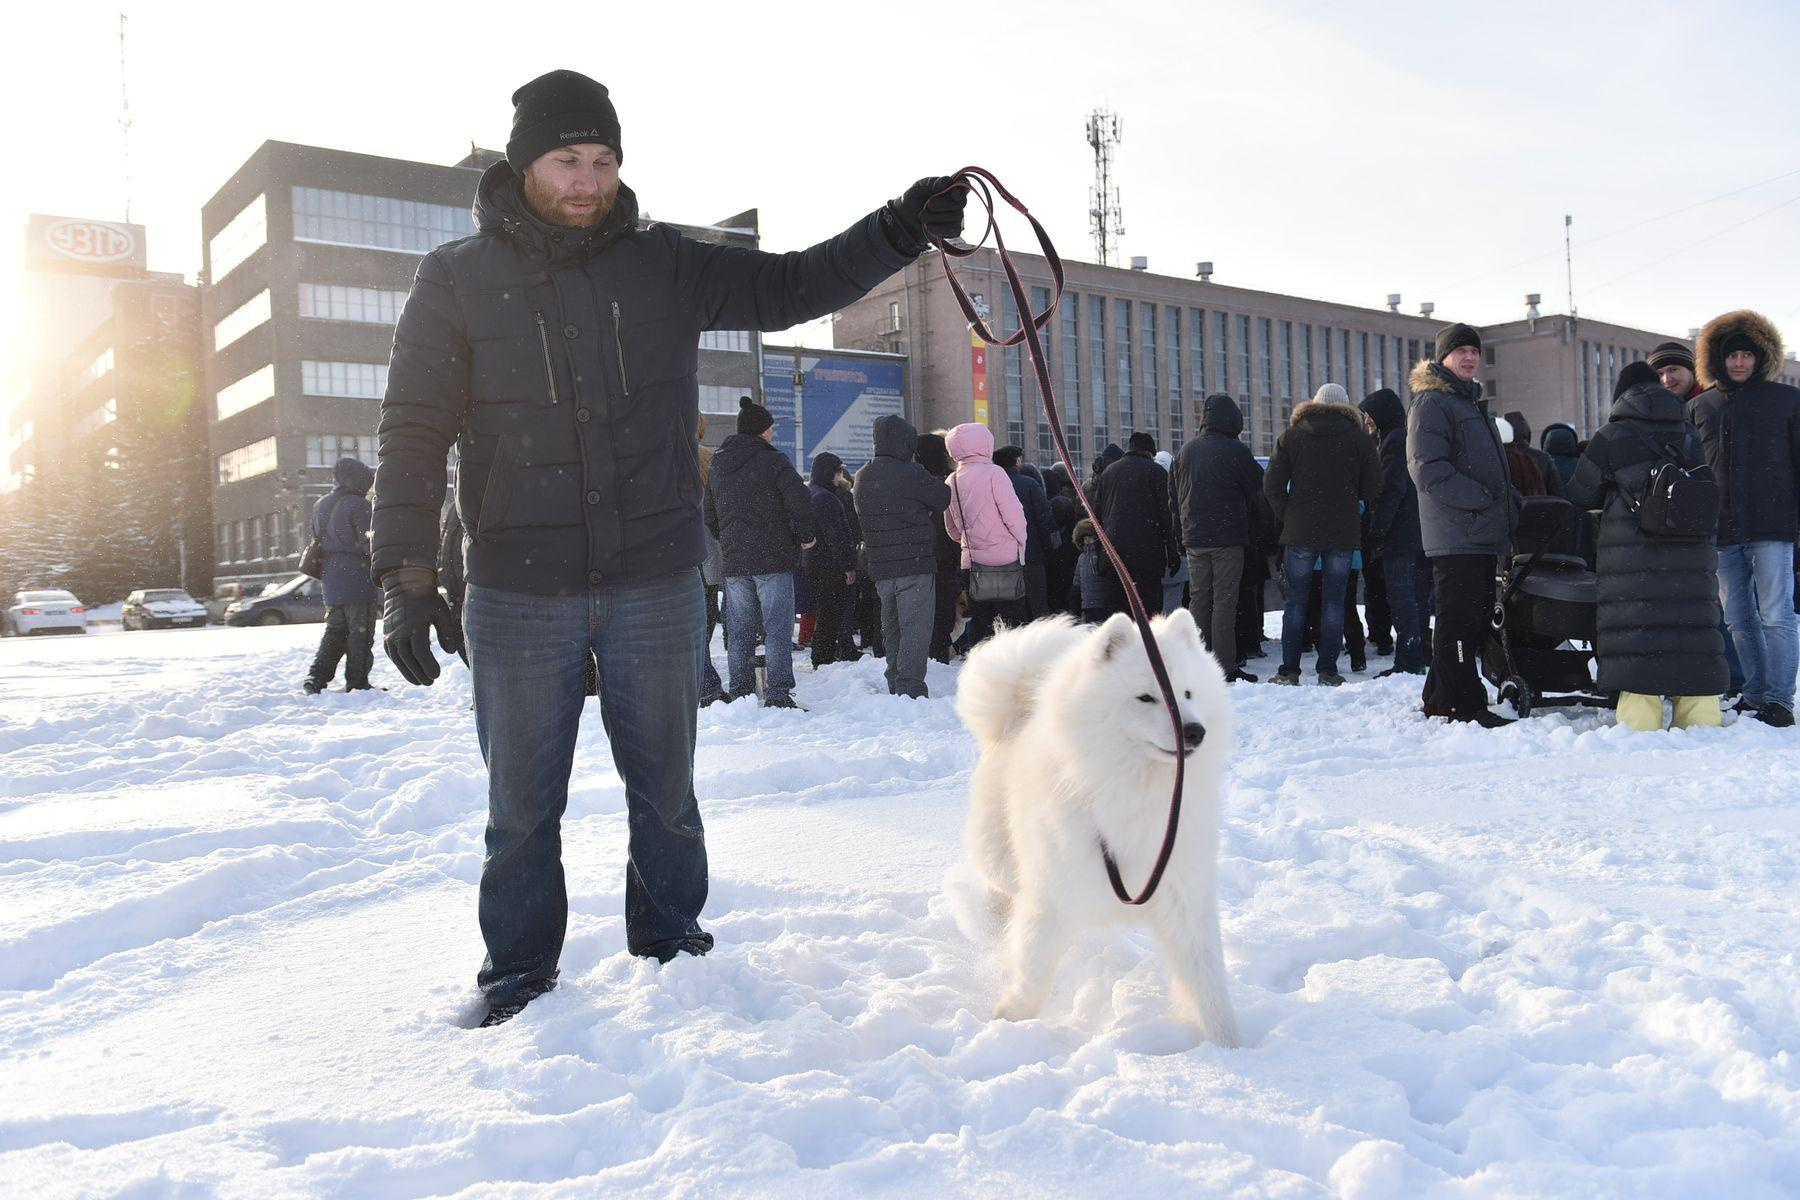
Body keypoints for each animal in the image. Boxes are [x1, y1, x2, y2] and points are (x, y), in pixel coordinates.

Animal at [957, 611, 1238, 1050]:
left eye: (1188, 693)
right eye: (1147, 698)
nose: (1194, 731)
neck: (1135, 786)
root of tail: (1019, 710)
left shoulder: (1184, 891)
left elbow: (1206, 976)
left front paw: (1231, 1045)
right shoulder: (1052, 889)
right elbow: (1033, 963)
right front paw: (1012, 1017)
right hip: (1000, 856)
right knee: (1002, 891)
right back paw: (990, 925)